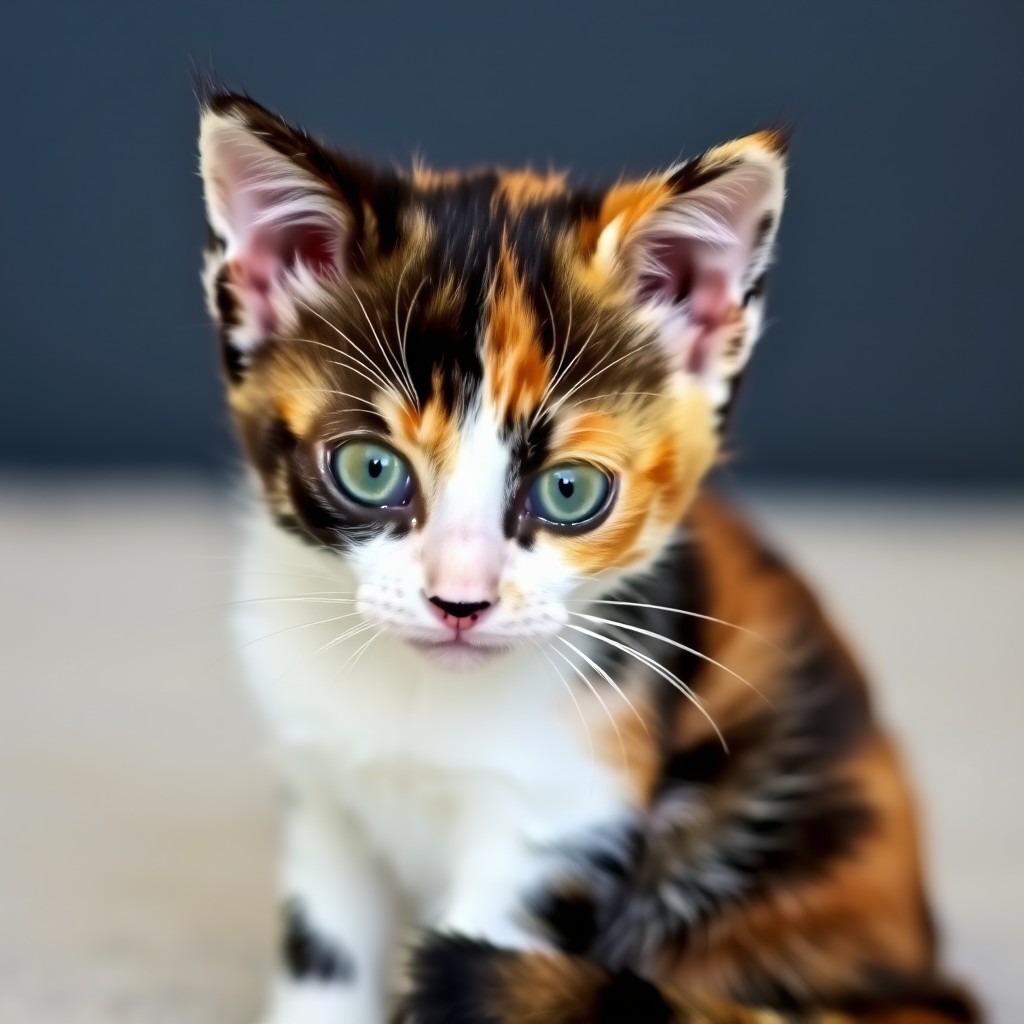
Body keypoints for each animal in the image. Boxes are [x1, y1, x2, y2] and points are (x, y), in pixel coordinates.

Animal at [197, 92, 974, 1019]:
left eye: (569, 490)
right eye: (371, 468)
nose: (460, 602)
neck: (422, 703)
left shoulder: (564, 816)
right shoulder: (321, 791)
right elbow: (325, 953)